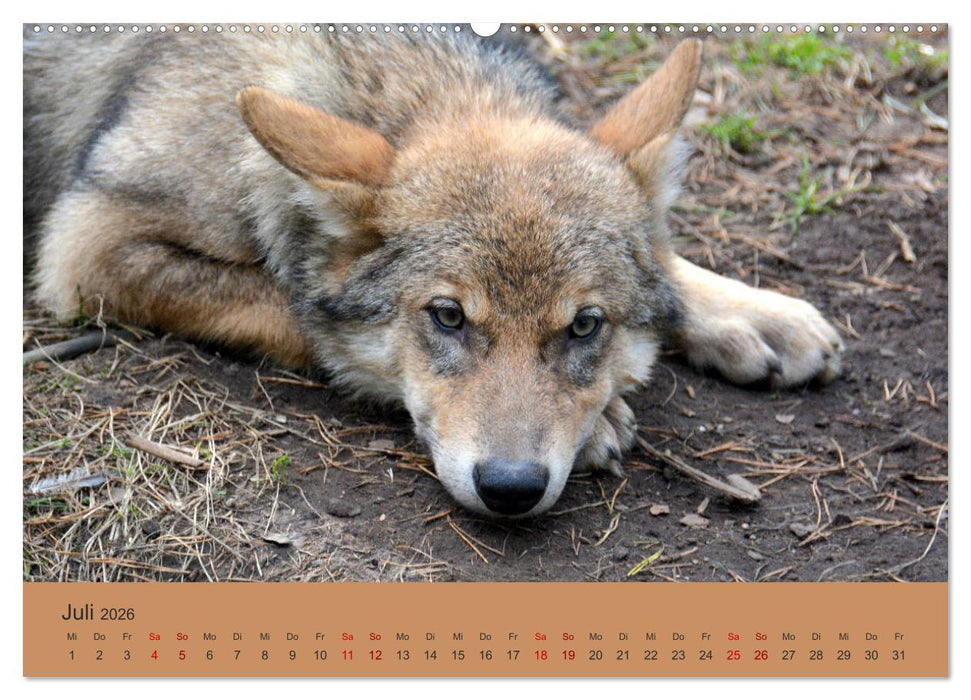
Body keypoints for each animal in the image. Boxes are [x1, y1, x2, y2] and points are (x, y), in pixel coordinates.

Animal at [24, 28, 843, 517]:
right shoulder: (88, 244)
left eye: (585, 326)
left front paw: (753, 313)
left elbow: (670, 267)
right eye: (447, 317)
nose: (511, 489)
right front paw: (605, 419)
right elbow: (297, 308)